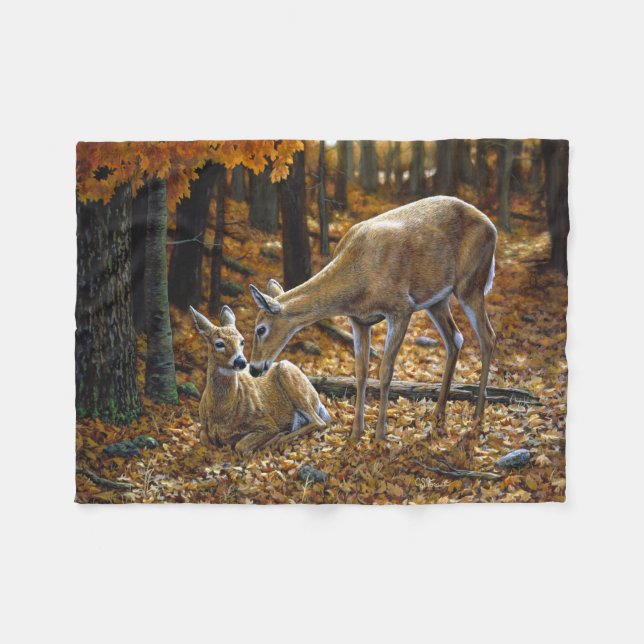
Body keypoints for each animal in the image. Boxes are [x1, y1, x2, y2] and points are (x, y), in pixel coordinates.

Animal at [189, 305, 331, 455]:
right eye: (219, 344)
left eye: (242, 341)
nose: (241, 361)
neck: (221, 415)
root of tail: (317, 400)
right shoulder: (204, 427)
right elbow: (204, 439)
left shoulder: (266, 422)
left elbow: (241, 446)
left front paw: (277, 436)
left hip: (288, 373)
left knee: (319, 422)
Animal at [248, 196, 497, 442]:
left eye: (260, 329)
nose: (253, 368)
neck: (358, 282)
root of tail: (492, 227)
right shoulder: (358, 320)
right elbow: (361, 372)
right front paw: (356, 433)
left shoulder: (401, 308)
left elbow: (385, 371)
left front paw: (379, 435)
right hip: (437, 299)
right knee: (455, 339)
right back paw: (438, 414)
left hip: (471, 283)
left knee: (488, 338)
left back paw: (477, 418)